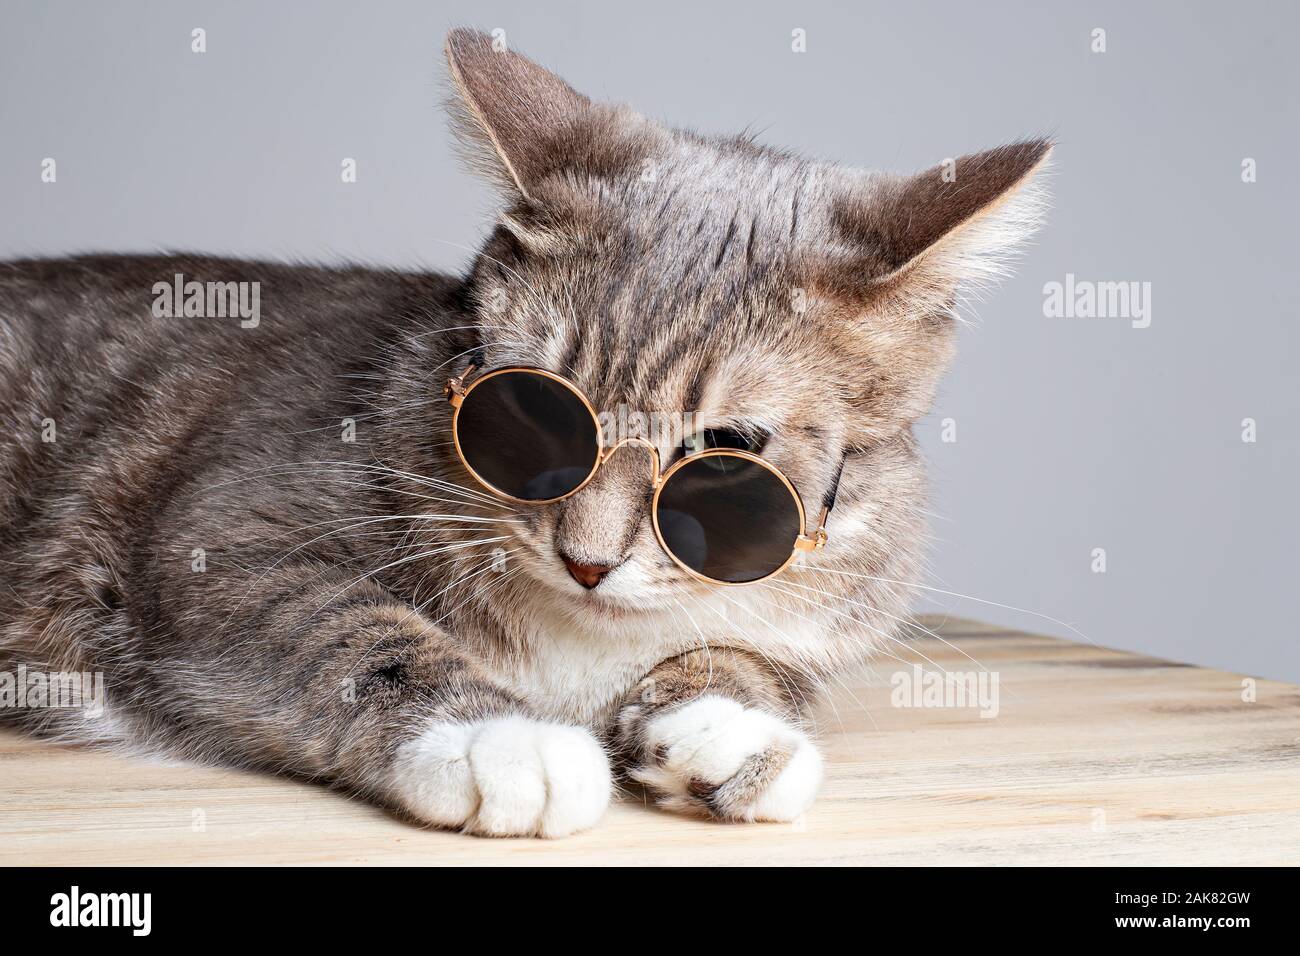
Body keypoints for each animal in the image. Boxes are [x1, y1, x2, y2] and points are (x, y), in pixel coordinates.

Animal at [0, 27, 1045, 837]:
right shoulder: (223, 534)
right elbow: (344, 628)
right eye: (534, 412)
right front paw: (498, 741)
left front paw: (724, 719)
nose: (587, 560)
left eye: (730, 453)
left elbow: (756, 659)